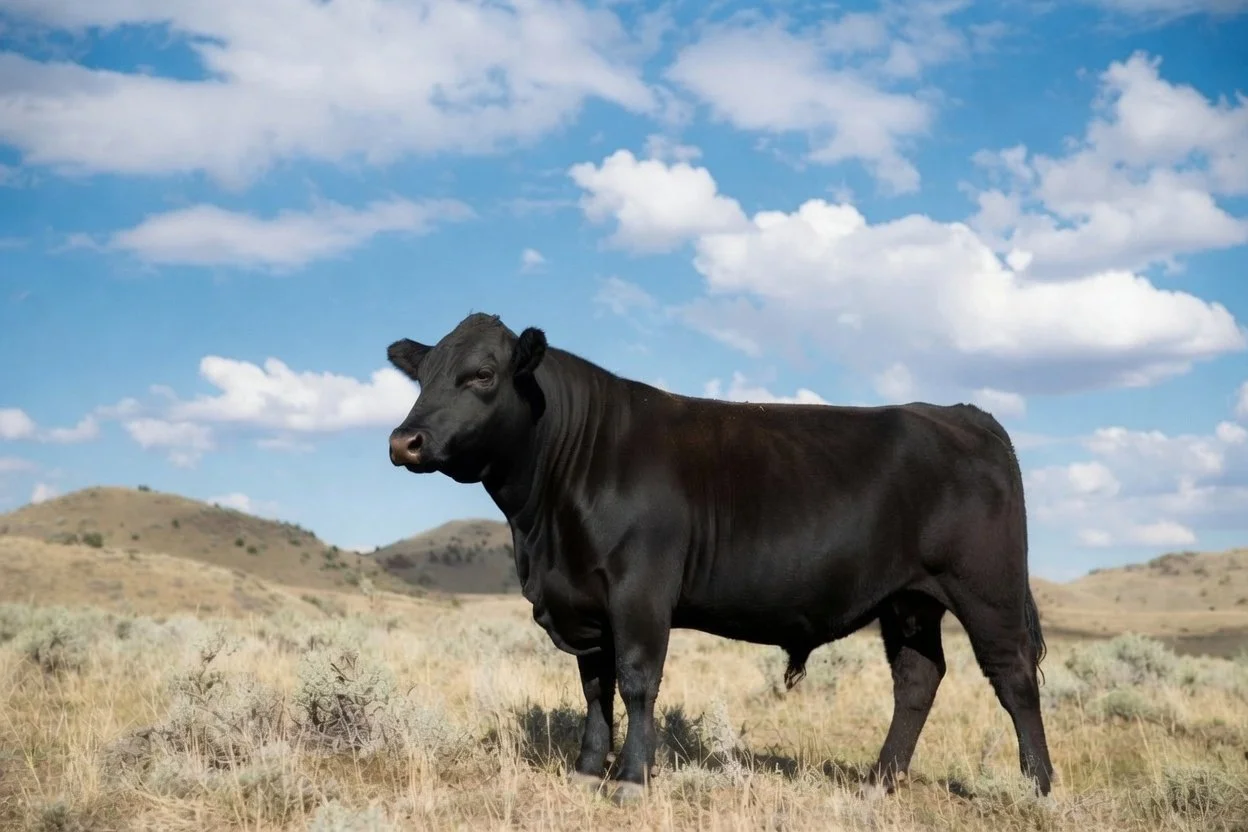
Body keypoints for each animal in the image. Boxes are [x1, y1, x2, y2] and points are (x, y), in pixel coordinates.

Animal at [385, 312, 1055, 803]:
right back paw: (878, 784)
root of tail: (961, 414)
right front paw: (587, 770)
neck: (542, 529)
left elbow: (636, 681)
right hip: (909, 600)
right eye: (424, 377)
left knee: (1014, 676)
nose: (403, 440)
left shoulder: (639, 590)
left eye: (482, 373)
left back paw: (1037, 788)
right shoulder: (582, 598)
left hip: (985, 588)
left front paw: (632, 781)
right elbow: (594, 687)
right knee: (918, 678)